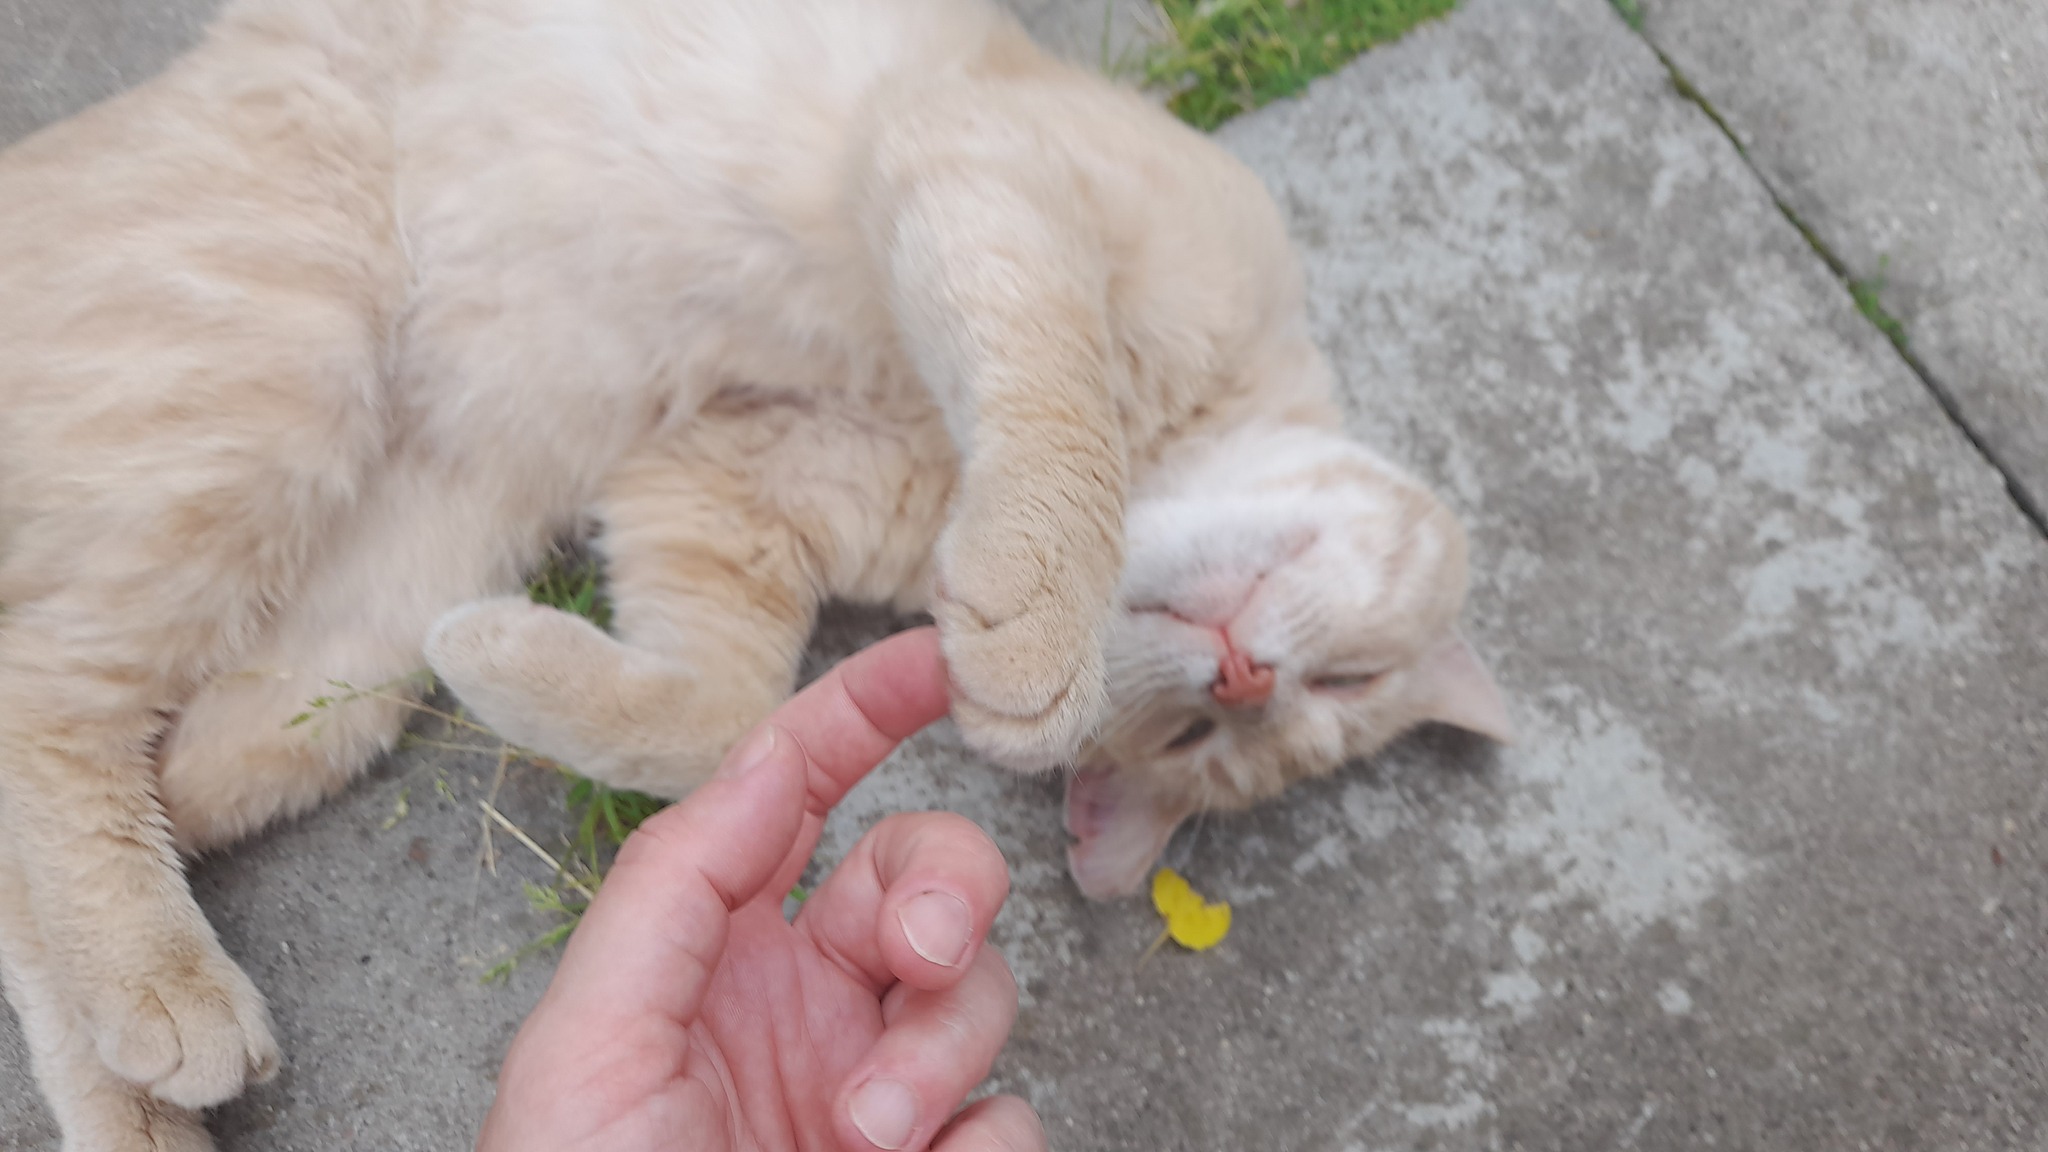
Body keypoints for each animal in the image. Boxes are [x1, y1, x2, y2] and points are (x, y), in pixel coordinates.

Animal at [0, 0, 1511, 1146]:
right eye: (1341, 678)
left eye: (1222, 738)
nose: (1248, 675)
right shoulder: (988, 169)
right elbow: (1055, 397)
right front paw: (1037, 626)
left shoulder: (712, 484)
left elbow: (714, 713)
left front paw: (501, 661)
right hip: (285, 360)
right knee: (43, 691)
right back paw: (167, 998)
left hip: (372, 604)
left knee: (108, 796)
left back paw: (139, 1081)